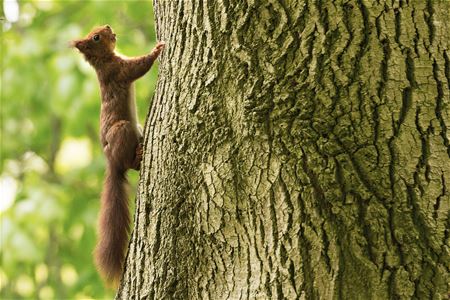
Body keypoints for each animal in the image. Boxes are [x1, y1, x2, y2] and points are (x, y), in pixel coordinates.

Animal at [72, 25, 165, 286]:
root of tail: (112, 162)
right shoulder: (119, 71)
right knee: (129, 164)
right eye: (96, 37)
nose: (108, 27)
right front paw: (157, 49)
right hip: (123, 130)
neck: (103, 61)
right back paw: (138, 156)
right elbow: (139, 67)